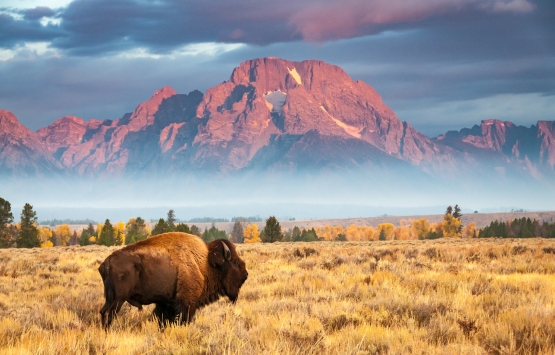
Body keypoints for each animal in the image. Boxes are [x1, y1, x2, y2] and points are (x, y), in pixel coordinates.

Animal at [98, 232, 250, 330]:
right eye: (235, 262)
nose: (246, 274)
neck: (205, 263)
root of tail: (106, 263)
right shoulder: (186, 303)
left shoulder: (166, 303)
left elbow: (163, 320)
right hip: (118, 300)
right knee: (109, 314)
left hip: (111, 299)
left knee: (103, 312)